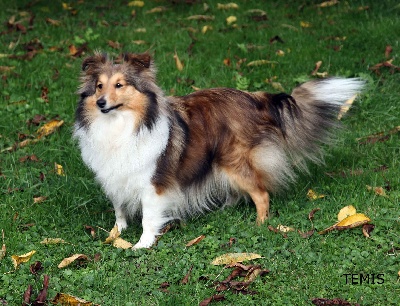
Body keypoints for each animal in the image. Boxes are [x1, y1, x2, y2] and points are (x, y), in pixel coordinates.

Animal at [73, 52, 364, 249]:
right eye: (99, 86)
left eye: (119, 85)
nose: (100, 103)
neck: (121, 124)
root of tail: (256, 98)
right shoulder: (115, 176)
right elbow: (119, 207)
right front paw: (116, 233)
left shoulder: (153, 183)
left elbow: (149, 217)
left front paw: (141, 245)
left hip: (234, 162)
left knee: (261, 194)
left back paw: (260, 224)